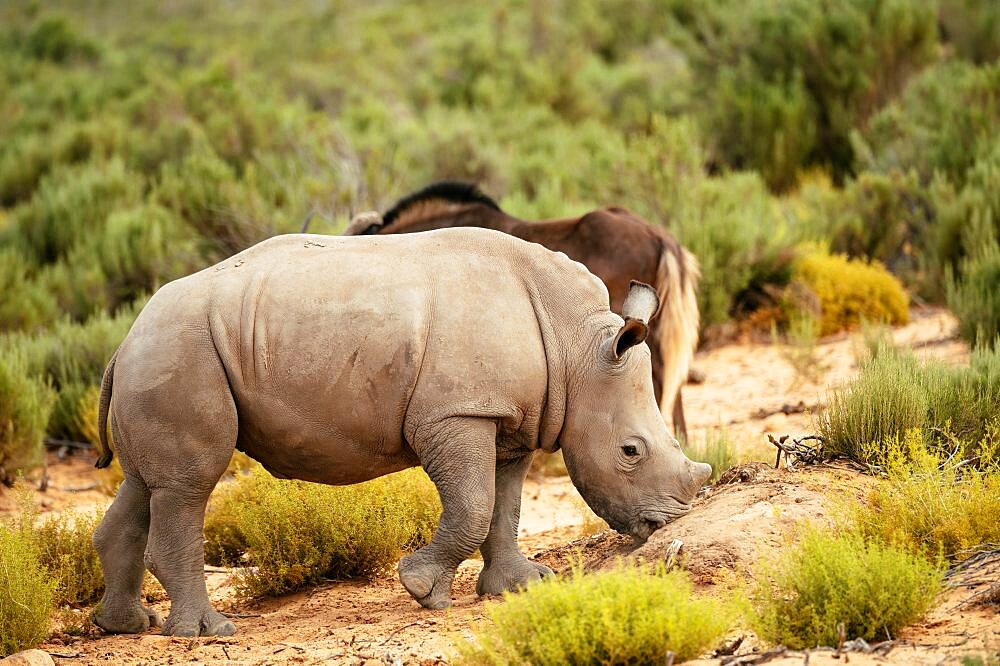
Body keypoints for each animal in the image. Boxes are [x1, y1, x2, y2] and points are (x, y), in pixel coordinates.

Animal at [92, 227, 712, 632]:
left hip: (166, 354)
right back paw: (209, 631)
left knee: (149, 484)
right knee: (189, 484)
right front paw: (422, 590)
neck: (576, 347)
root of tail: (122, 343)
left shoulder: (508, 417)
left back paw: (126, 624)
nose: (665, 523)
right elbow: (473, 504)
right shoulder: (456, 412)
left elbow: (504, 505)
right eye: (630, 451)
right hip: (181, 350)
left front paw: (520, 586)